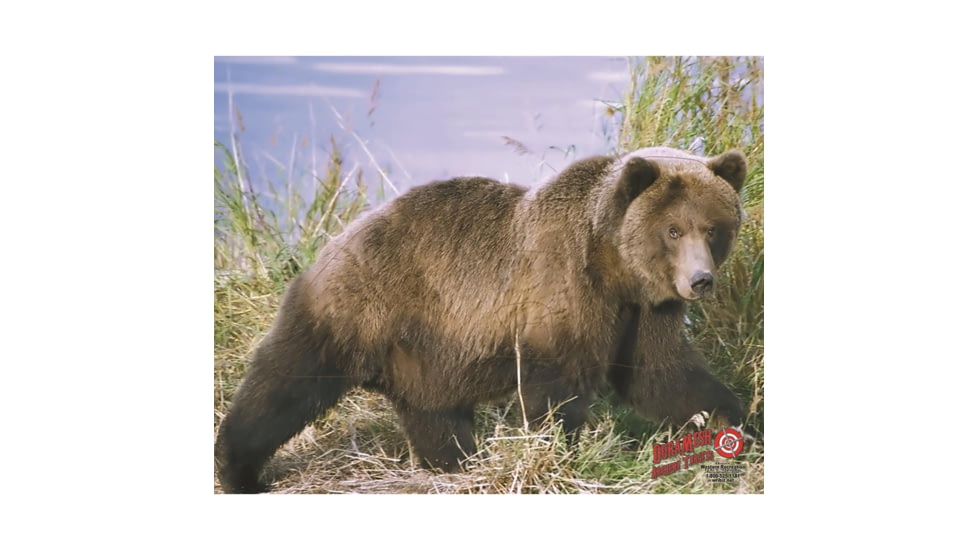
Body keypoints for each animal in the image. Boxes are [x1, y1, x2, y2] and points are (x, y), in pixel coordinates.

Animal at [215, 145, 748, 493]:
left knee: (434, 412)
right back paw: (237, 467)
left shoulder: (643, 310)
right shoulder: (562, 285)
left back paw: (453, 464)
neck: (614, 264)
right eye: (673, 229)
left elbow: (660, 374)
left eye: (712, 228)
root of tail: (334, 239)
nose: (700, 280)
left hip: (427, 349)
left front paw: (733, 421)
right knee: (286, 382)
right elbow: (558, 383)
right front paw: (556, 452)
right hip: (359, 306)